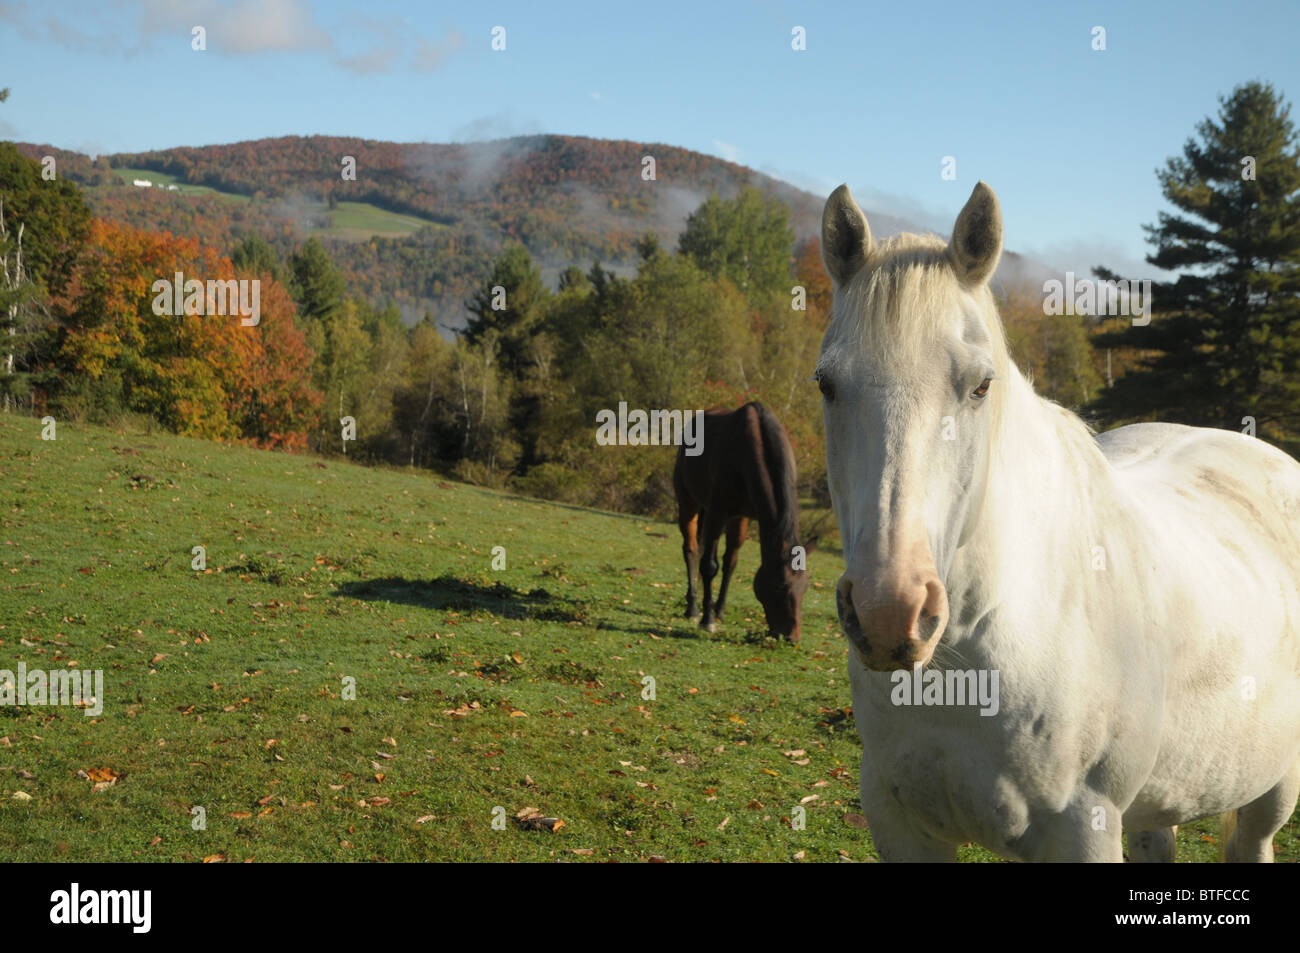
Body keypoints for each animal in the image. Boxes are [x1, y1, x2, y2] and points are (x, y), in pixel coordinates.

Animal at [676, 400, 806, 639]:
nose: (791, 637)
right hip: (688, 502)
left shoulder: (742, 516)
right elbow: (709, 565)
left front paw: (719, 611)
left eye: (805, 586)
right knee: (691, 550)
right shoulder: (717, 513)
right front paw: (708, 621)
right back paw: (693, 609)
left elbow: (731, 563)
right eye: (780, 587)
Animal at [816, 180, 1300, 863]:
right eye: (827, 385)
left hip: (1271, 790)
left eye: (980, 386)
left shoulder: (1083, 828)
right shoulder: (899, 823)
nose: (891, 613)